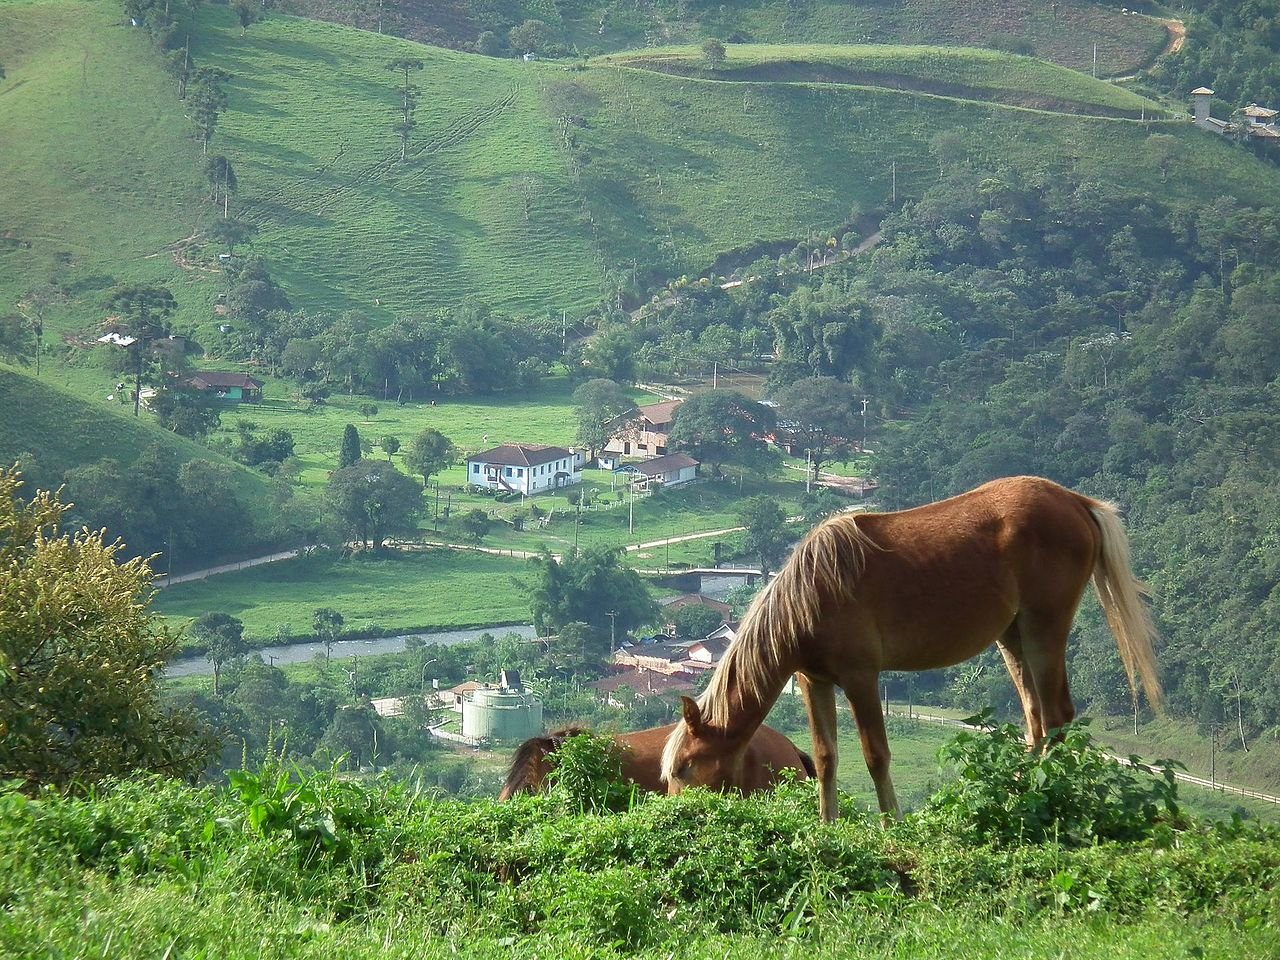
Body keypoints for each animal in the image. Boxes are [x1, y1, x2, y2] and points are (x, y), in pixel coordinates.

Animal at [655, 473, 1167, 819]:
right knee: (1036, 721)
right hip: (1013, 637)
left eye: (685, 768)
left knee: (1058, 717)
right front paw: (826, 826)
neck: (811, 594)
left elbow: (875, 755)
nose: (678, 815)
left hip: (1045, 627)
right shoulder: (813, 681)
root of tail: (1075, 502)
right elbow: (825, 758)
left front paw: (892, 823)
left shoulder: (861, 678)